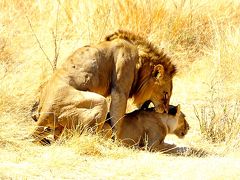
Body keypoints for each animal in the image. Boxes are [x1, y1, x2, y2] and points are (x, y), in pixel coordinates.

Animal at [30, 30, 176, 144]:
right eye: (166, 94)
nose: (165, 111)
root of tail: (44, 113)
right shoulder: (120, 87)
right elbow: (117, 117)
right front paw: (118, 141)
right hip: (100, 101)